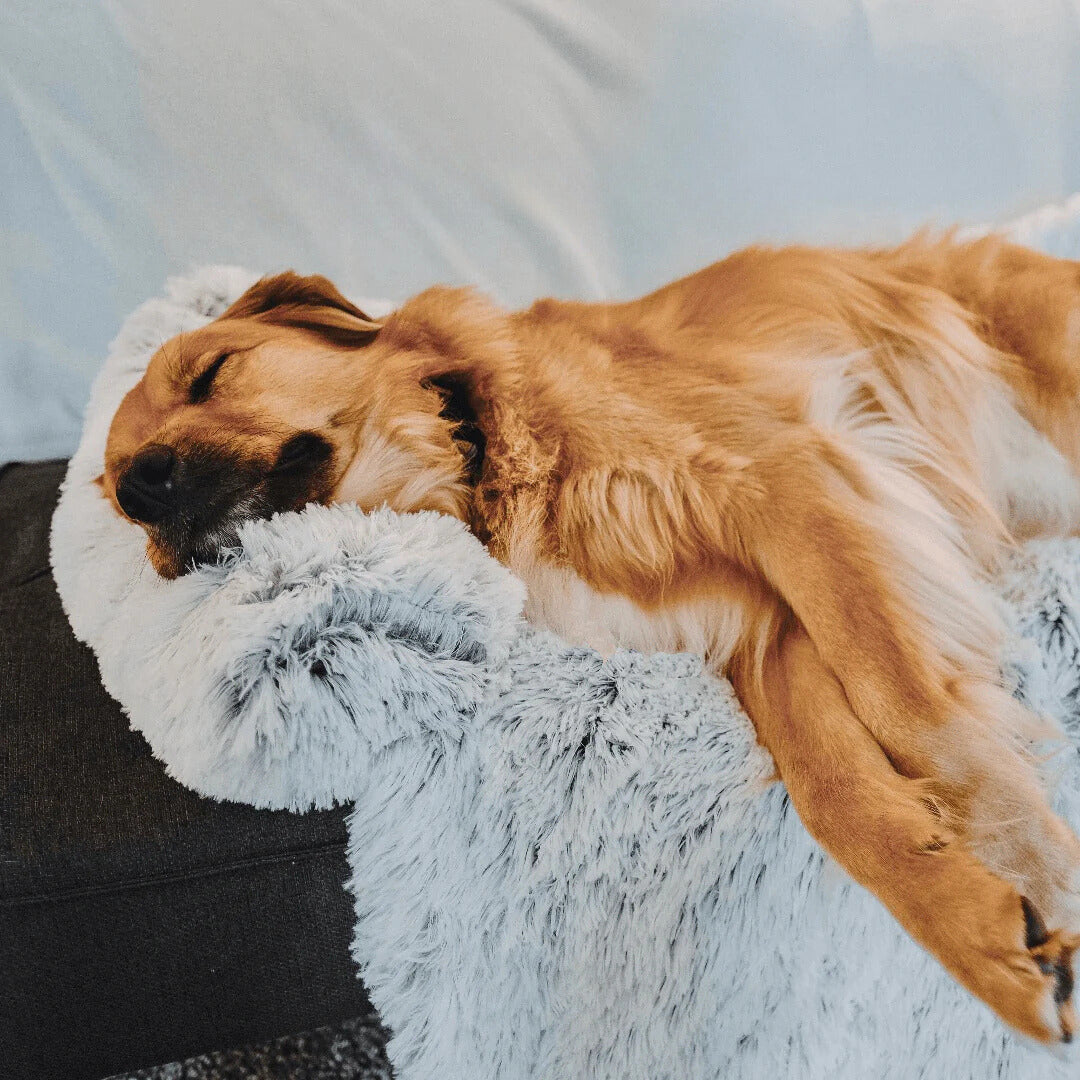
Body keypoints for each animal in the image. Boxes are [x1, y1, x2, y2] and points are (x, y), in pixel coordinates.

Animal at [101, 234, 1080, 1036]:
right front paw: (981, 930)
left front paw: (1032, 861)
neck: (480, 457)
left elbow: (911, 708)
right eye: (110, 489)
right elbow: (835, 795)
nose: (141, 488)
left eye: (211, 372)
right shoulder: (766, 630)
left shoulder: (790, 484)